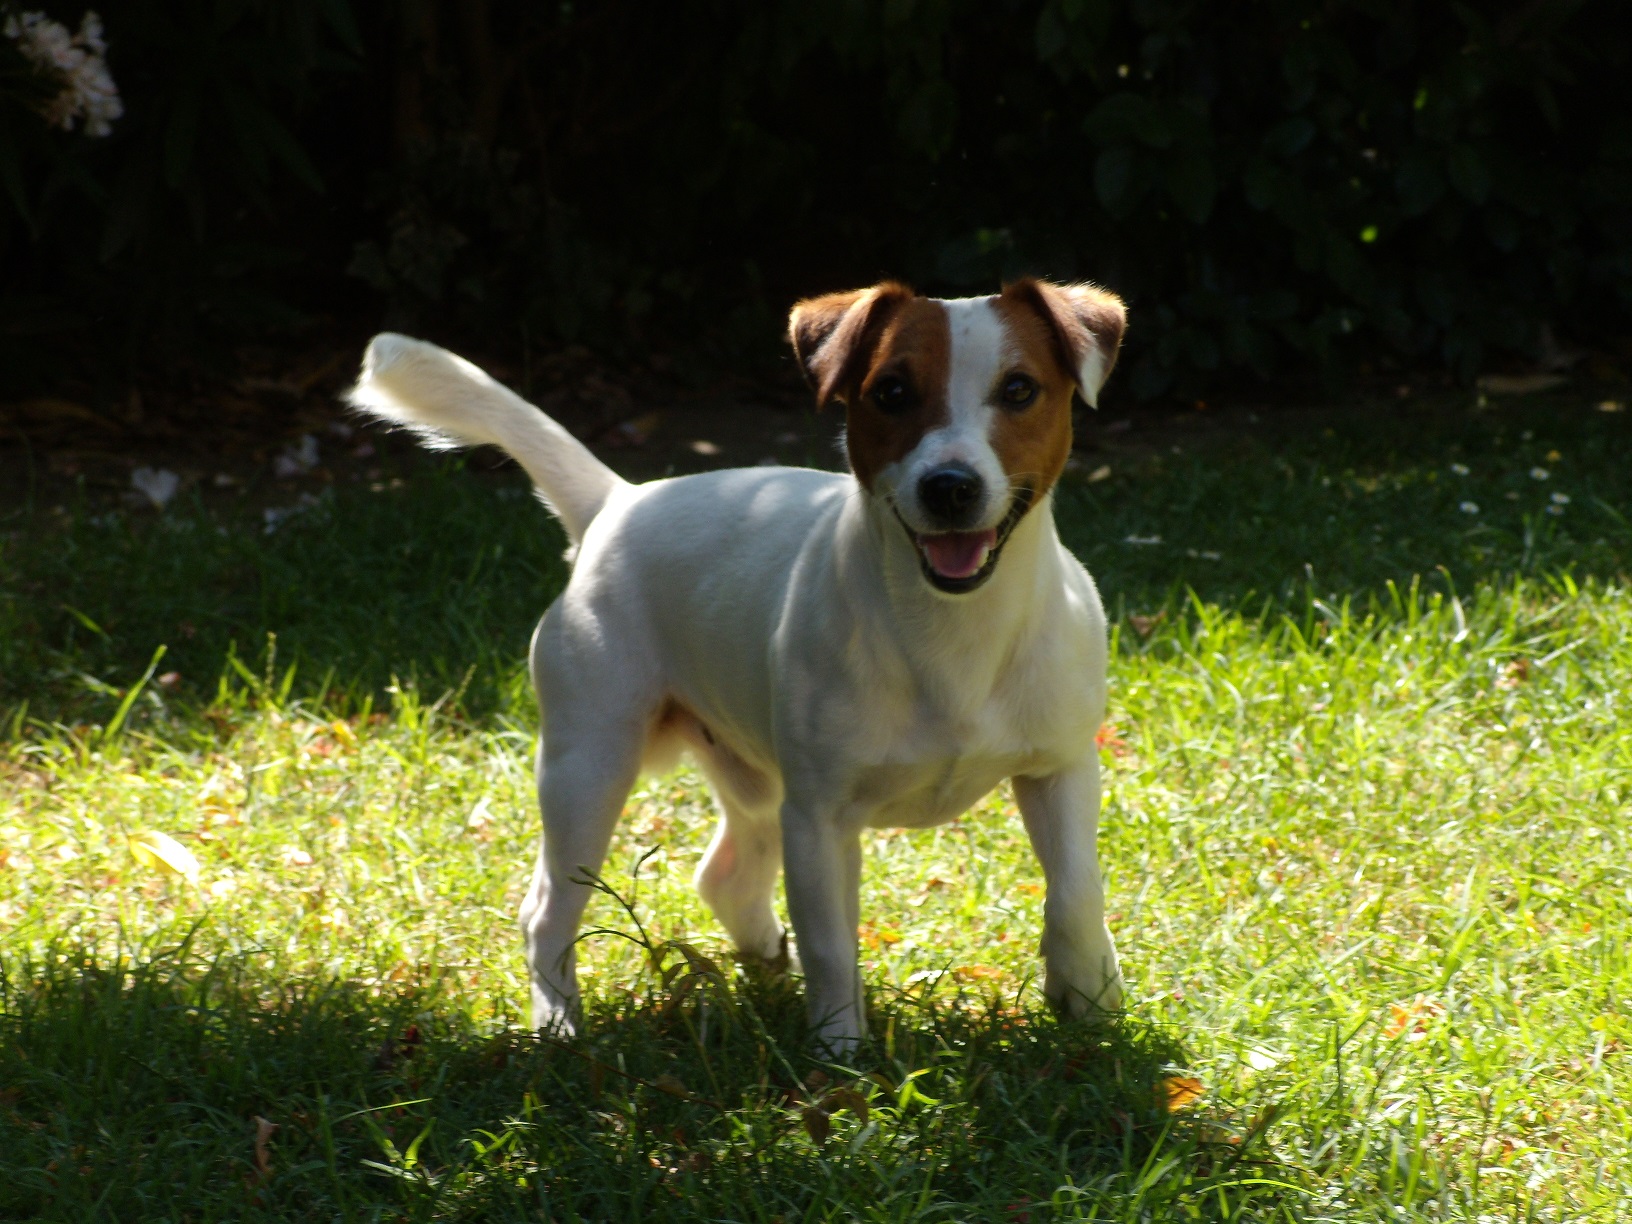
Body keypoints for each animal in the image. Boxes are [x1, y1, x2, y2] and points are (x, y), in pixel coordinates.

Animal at [348, 277, 1127, 1052]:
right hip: (588, 766)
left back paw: (765, 965)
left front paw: (1092, 1006)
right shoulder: (817, 819)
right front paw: (840, 1058)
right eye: (892, 392)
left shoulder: (1061, 769)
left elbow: (1077, 892)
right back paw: (560, 1026)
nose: (950, 487)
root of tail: (618, 503)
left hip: (750, 776)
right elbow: (832, 946)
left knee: (724, 875)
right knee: (548, 911)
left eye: (1020, 389)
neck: (954, 632)